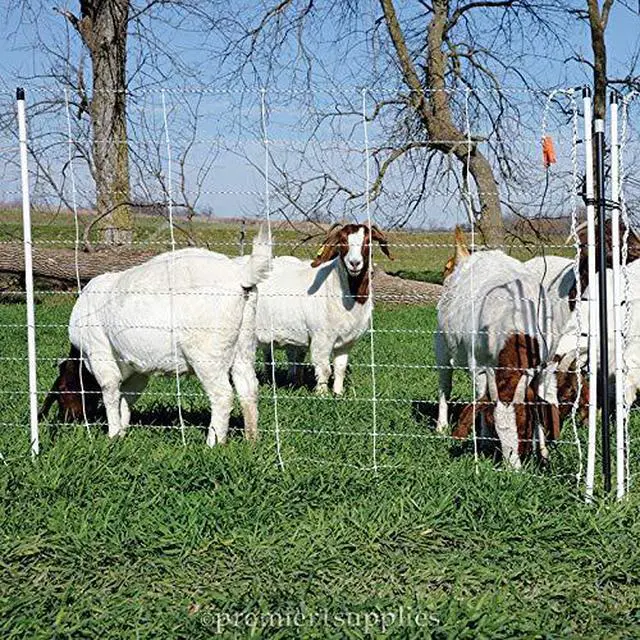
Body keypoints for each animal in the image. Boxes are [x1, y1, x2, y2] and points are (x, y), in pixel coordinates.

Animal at [65, 226, 271, 446]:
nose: (69, 420)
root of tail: (241, 274)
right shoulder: (137, 368)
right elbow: (127, 398)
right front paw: (121, 433)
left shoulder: (99, 351)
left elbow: (110, 391)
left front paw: (112, 436)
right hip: (244, 345)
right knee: (248, 388)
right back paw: (252, 439)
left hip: (206, 352)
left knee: (222, 395)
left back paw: (213, 443)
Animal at [255, 223, 393, 395]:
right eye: (342, 241)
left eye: (368, 241)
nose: (354, 263)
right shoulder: (322, 338)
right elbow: (325, 369)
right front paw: (322, 394)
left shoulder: (346, 342)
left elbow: (340, 368)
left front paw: (338, 394)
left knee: (272, 355)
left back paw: (280, 381)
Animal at [436, 228, 563, 468]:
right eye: (496, 428)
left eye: (524, 425)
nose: (514, 469)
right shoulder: (478, 366)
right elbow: (480, 397)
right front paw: (485, 441)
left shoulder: (544, 368)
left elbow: (541, 400)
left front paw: (542, 453)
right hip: (441, 346)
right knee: (444, 386)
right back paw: (441, 425)